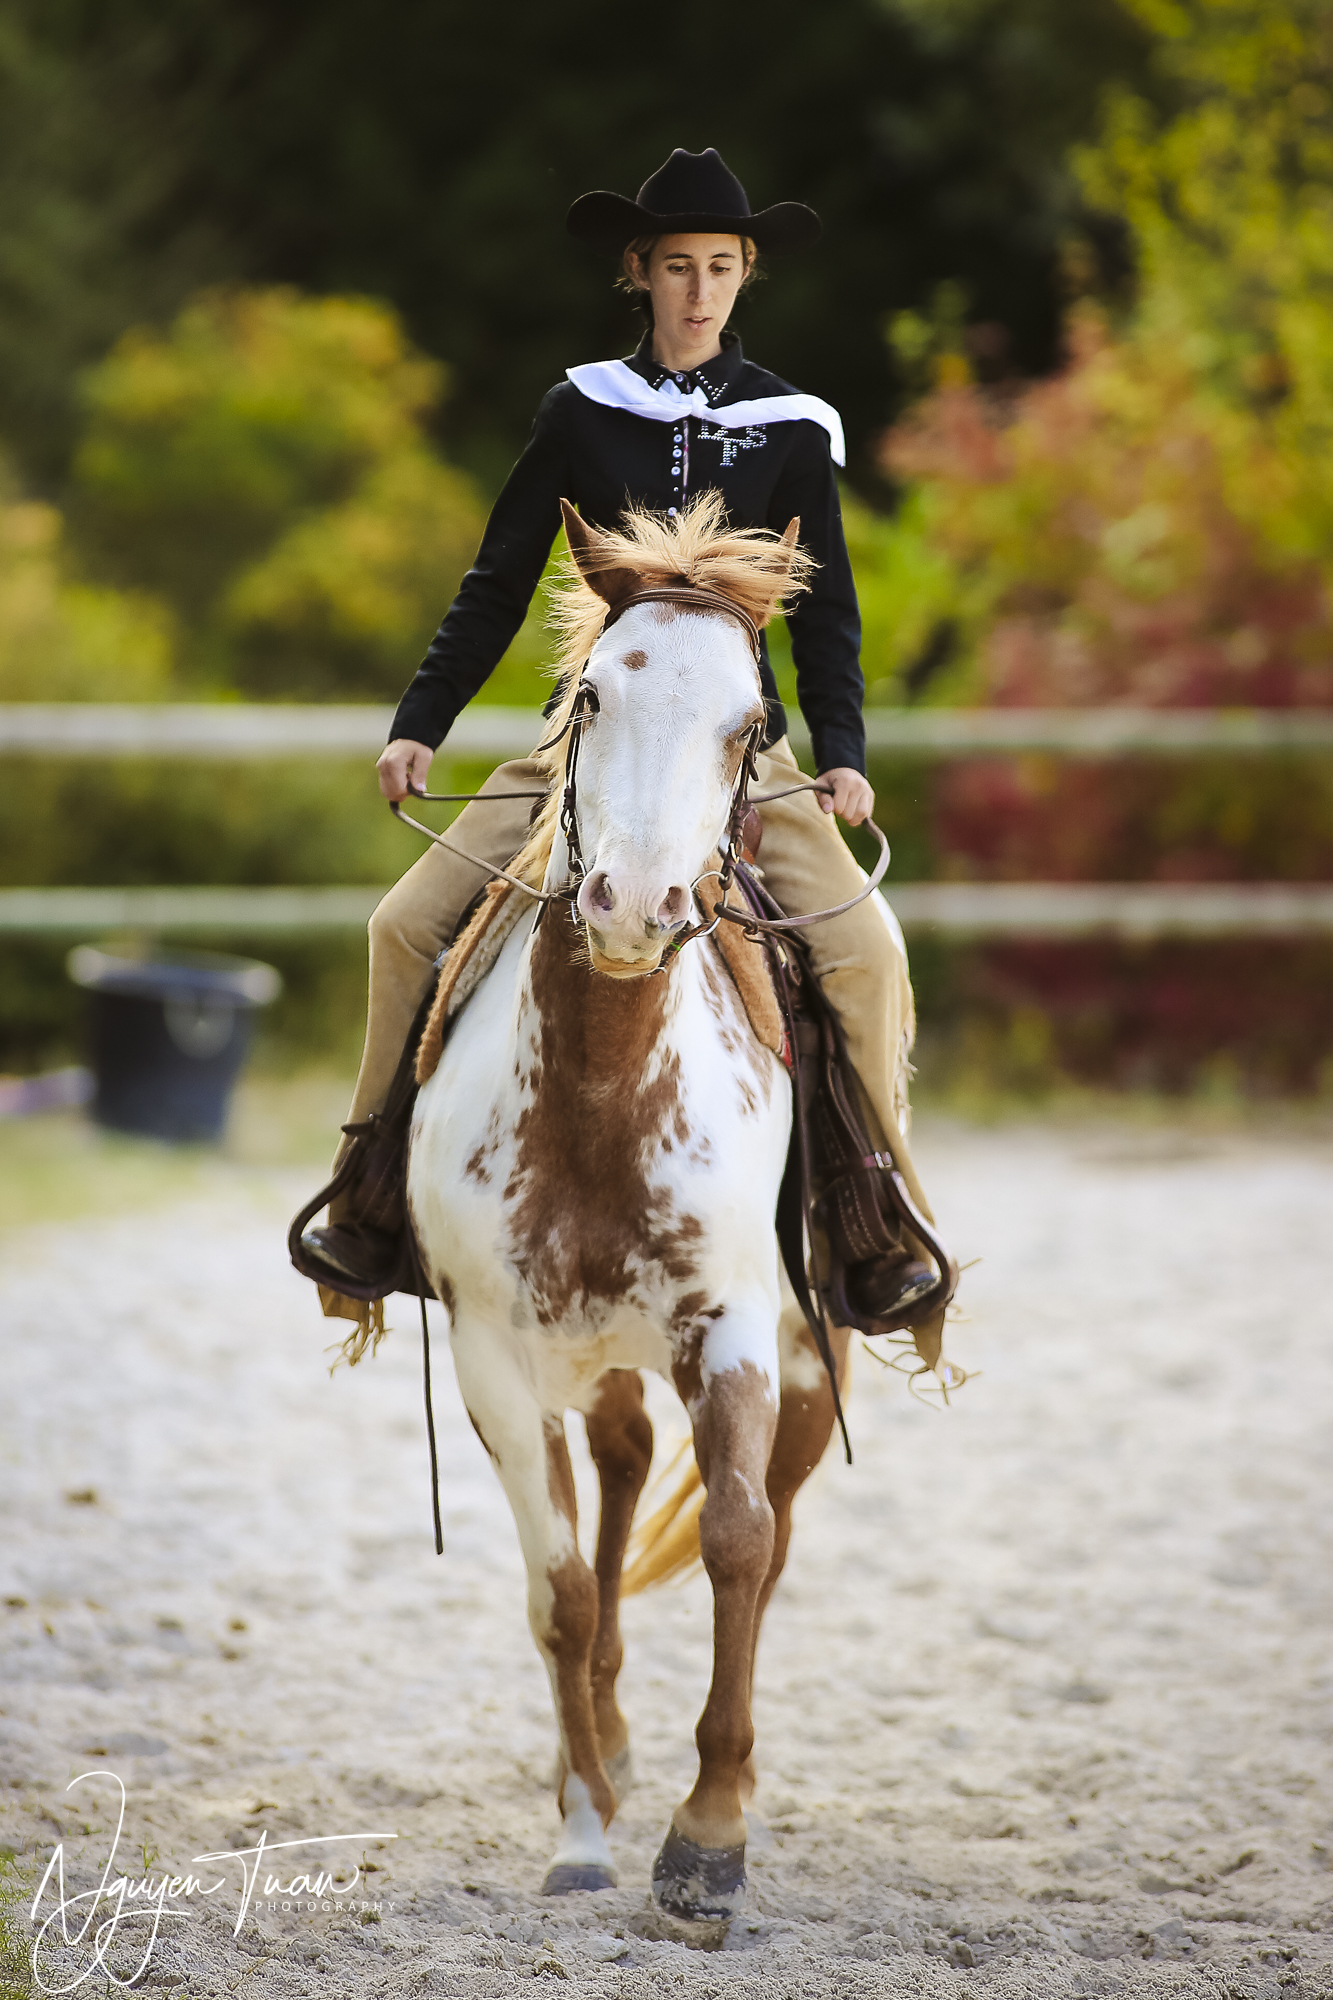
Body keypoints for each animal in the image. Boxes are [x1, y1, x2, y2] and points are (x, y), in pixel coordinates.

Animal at [406, 493, 851, 1920]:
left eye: (749, 725)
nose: (633, 905)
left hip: (801, 1347)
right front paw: (586, 1826)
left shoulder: (735, 1329)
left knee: (770, 1518)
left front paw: (707, 1839)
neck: (603, 1083)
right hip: (585, 1353)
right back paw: (593, 1744)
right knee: (611, 1474)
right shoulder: (493, 1354)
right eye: (592, 692)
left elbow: (737, 1539)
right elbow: (559, 1589)